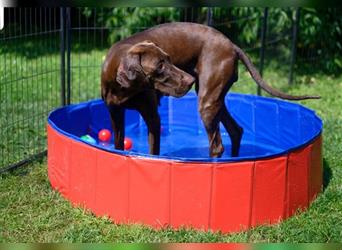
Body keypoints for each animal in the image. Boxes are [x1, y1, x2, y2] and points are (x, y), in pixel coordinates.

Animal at [100, 22, 320, 158]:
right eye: (160, 66)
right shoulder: (115, 114)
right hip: (214, 100)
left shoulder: (153, 117)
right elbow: (118, 145)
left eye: (169, 58)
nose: (189, 81)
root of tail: (232, 44)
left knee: (217, 146)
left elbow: (154, 152)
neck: (123, 89)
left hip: (207, 101)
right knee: (236, 130)